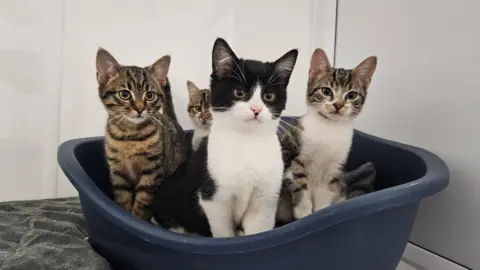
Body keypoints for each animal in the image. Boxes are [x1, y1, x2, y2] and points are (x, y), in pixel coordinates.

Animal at [96, 48, 188, 221]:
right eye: (125, 94)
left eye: (149, 95)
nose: (140, 109)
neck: (130, 135)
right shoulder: (118, 173)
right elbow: (122, 198)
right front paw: (123, 215)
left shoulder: (152, 172)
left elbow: (142, 201)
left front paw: (136, 219)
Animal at [280, 48, 376, 219]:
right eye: (326, 91)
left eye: (351, 95)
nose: (338, 105)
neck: (329, 128)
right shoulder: (292, 152)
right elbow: (300, 181)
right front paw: (303, 212)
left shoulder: (333, 171)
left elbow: (324, 197)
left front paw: (320, 214)